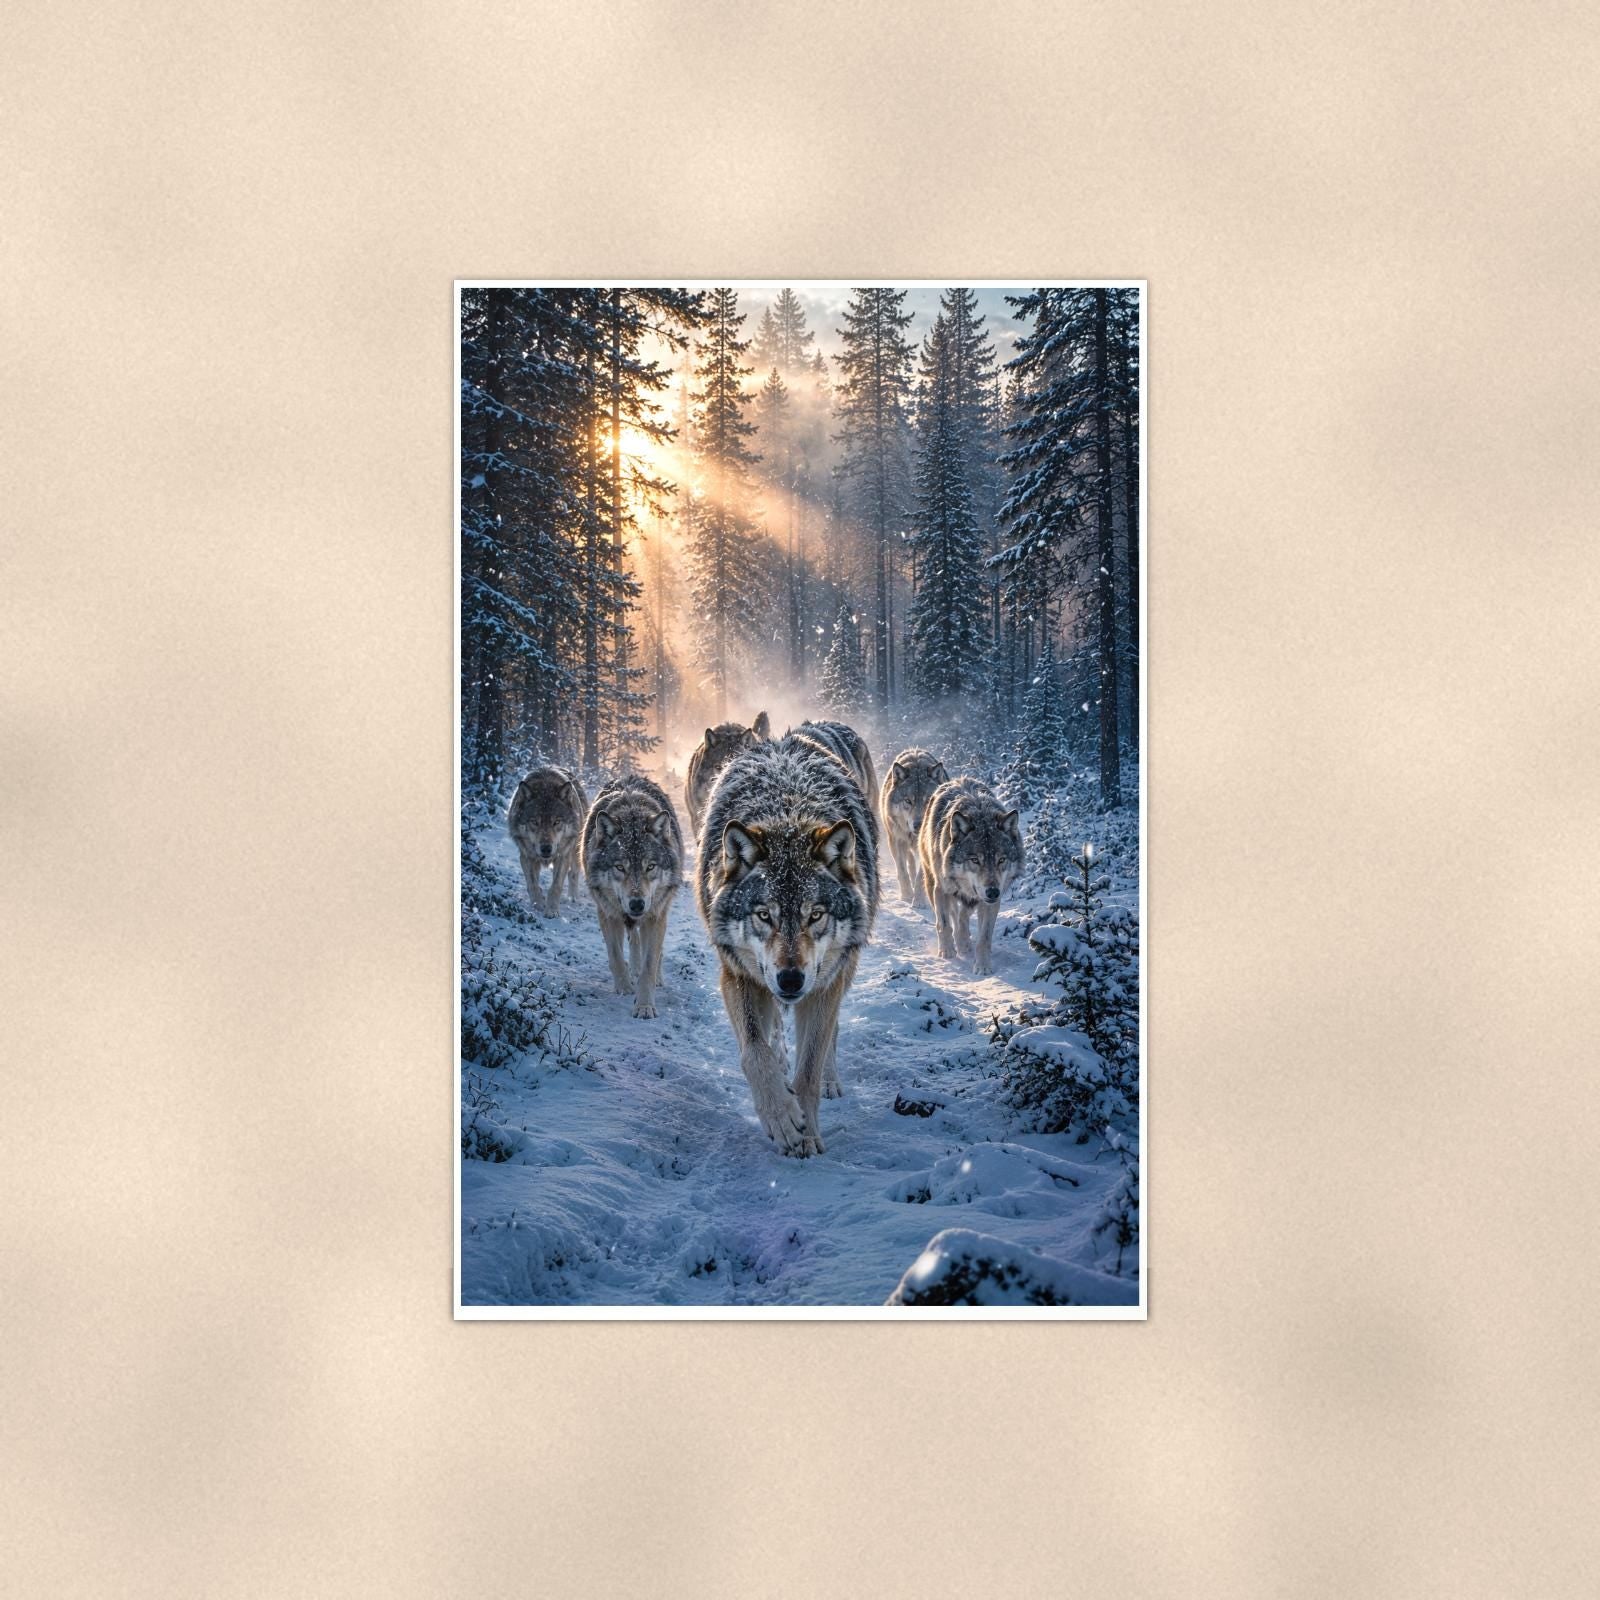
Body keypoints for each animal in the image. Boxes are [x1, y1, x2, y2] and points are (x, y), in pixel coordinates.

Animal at [508, 767, 588, 916]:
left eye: (556, 822)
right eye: (535, 822)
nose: (546, 848)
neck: (545, 786)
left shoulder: (562, 856)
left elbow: (556, 886)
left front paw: (551, 910)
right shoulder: (526, 856)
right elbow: (532, 884)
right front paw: (537, 905)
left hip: (575, 851)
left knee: (573, 873)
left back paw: (573, 897)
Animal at [581, 774, 683, 1019]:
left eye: (650, 867)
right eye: (620, 867)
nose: (637, 904)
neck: (632, 813)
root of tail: (631, 776)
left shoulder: (655, 916)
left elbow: (649, 964)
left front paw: (644, 1006)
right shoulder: (607, 912)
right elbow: (616, 955)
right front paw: (624, 988)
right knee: (633, 938)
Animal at [695, 734, 879, 1157]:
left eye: (816, 915)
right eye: (765, 915)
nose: (791, 980)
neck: (787, 815)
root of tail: (784, 739)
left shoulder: (825, 984)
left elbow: (808, 1069)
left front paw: (807, 1134)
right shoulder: (738, 975)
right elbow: (754, 1053)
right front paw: (781, 1118)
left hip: (842, 969)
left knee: (830, 1034)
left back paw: (829, 1080)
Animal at [878, 748, 949, 905]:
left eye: (928, 800)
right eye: (908, 801)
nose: (918, 825)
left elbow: (920, 876)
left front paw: (918, 901)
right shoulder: (896, 840)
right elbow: (902, 870)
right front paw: (906, 895)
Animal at [918, 776, 1024, 975]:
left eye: (1001, 860)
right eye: (975, 860)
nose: (992, 892)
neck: (980, 812)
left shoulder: (989, 902)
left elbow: (984, 938)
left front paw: (982, 966)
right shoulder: (942, 889)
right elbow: (944, 924)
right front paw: (947, 952)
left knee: (962, 916)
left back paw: (964, 942)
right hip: (932, 883)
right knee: (952, 915)